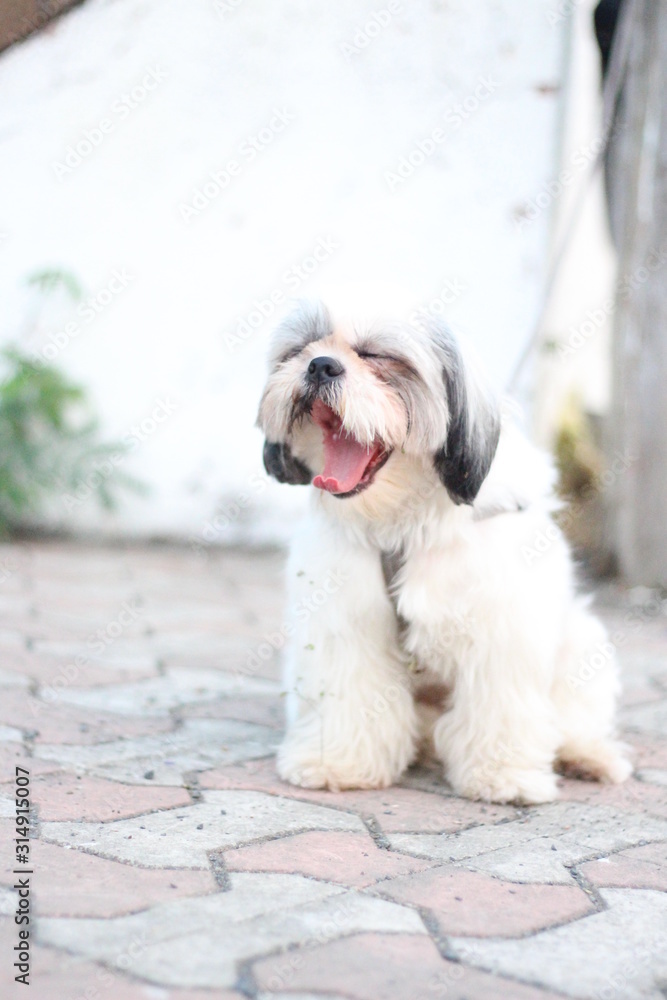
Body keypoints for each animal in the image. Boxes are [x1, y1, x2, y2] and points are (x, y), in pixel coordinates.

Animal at [256, 298, 632, 804]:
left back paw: (587, 755)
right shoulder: (346, 621)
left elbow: (501, 702)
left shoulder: (502, 623)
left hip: (583, 642)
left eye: (378, 356)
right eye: (301, 349)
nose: (320, 365)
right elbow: (350, 689)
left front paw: (502, 773)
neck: (405, 520)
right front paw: (339, 761)